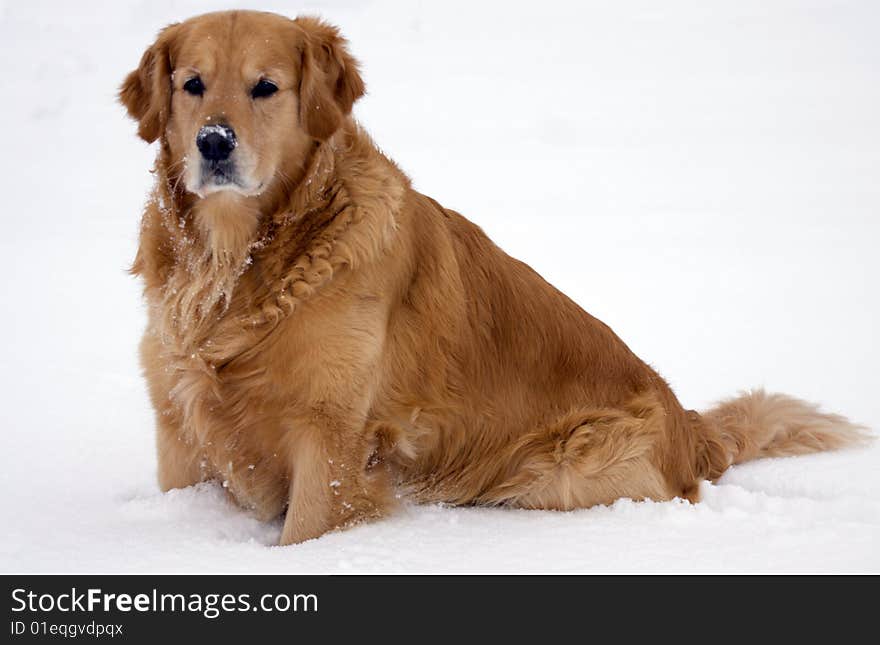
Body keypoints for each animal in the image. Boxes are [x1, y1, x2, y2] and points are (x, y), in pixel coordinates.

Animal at [120, 10, 868, 544]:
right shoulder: (176, 425)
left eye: (266, 87)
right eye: (192, 84)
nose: (214, 143)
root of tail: (690, 425)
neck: (239, 261)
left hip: (563, 466)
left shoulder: (330, 439)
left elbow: (304, 532)